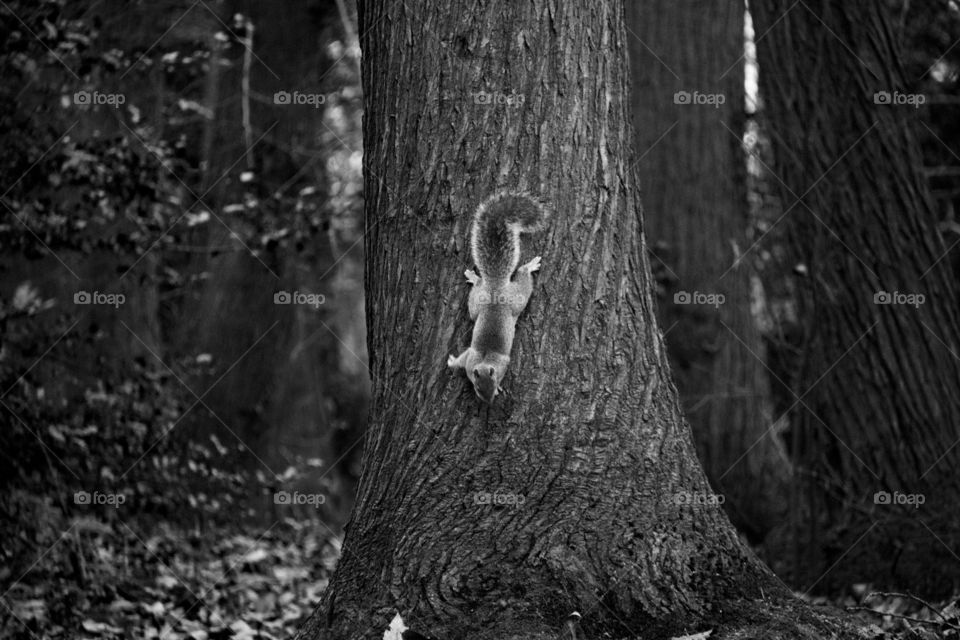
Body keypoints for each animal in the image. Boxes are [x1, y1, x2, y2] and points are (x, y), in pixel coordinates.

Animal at [447, 192, 547, 403]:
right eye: (477, 388)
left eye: (493, 383)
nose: (488, 401)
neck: (485, 361)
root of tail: (495, 286)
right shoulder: (470, 359)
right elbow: (461, 360)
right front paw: (452, 362)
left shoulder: (499, 363)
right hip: (490, 301)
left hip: (507, 300)